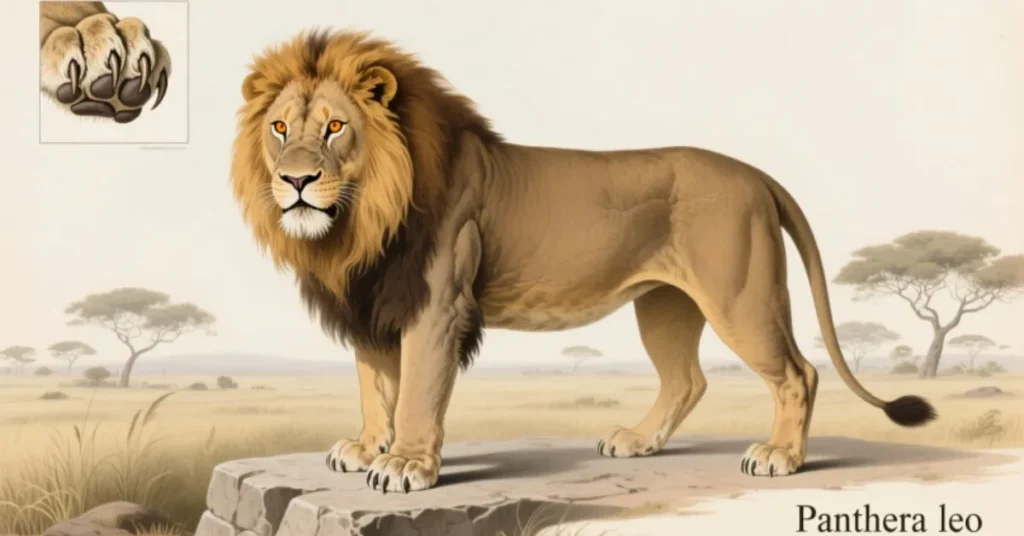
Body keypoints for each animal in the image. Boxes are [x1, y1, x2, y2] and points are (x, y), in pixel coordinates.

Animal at [231, 30, 936, 493]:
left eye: (334, 128)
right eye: (279, 129)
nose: (295, 181)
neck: (362, 220)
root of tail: (757, 175)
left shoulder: (436, 305)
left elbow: (417, 394)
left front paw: (406, 464)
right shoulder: (375, 298)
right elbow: (376, 385)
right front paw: (365, 447)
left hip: (741, 297)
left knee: (797, 373)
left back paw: (780, 457)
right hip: (666, 305)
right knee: (688, 380)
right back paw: (639, 442)